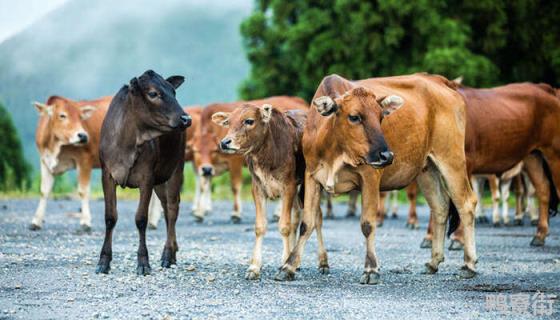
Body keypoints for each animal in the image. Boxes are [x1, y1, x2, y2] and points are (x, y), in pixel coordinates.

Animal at [30, 94, 112, 230]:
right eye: (62, 115)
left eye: (80, 117)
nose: (83, 136)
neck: (55, 146)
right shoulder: (45, 160)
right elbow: (44, 191)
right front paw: (36, 221)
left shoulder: (85, 160)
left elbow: (83, 191)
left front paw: (85, 222)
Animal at [95, 70, 191, 276]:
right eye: (153, 93)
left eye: (173, 92)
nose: (186, 119)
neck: (128, 144)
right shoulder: (107, 174)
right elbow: (110, 217)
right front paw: (103, 262)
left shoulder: (146, 177)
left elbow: (141, 219)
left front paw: (143, 263)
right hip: (160, 180)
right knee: (165, 207)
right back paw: (172, 252)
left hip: (176, 168)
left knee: (173, 209)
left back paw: (167, 255)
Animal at [191, 96, 306, 224]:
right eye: (195, 151)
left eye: (213, 150)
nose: (224, 143)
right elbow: (203, 186)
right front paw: (200, 213)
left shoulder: (234, 162)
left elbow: (235, 187)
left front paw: (236, 213)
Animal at [213, 103, 328, 280]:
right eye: (228, 122)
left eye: (249, 120)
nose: (225, 142)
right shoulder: (258, 188)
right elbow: (260, 226)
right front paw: (254, 267)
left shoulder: (288, 186)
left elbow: (284, 226)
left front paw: (284, 264)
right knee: (297, 218)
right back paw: (296, 262)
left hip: (309, 185)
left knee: (317, 218)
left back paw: (323, 263)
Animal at [274, 74, 476, 284]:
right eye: (354, 117)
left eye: (381, 117)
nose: (386, 156)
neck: (334, 149)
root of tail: (442, 81)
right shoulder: (311, 177)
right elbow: (307, 223)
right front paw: (289, 266)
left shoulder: (370, 176)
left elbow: (368, 224)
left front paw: (371, 269)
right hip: (427, 169)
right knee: (440, 207)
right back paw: (434, 262)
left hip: (452, 159)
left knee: (466, 205)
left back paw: (468, 264)